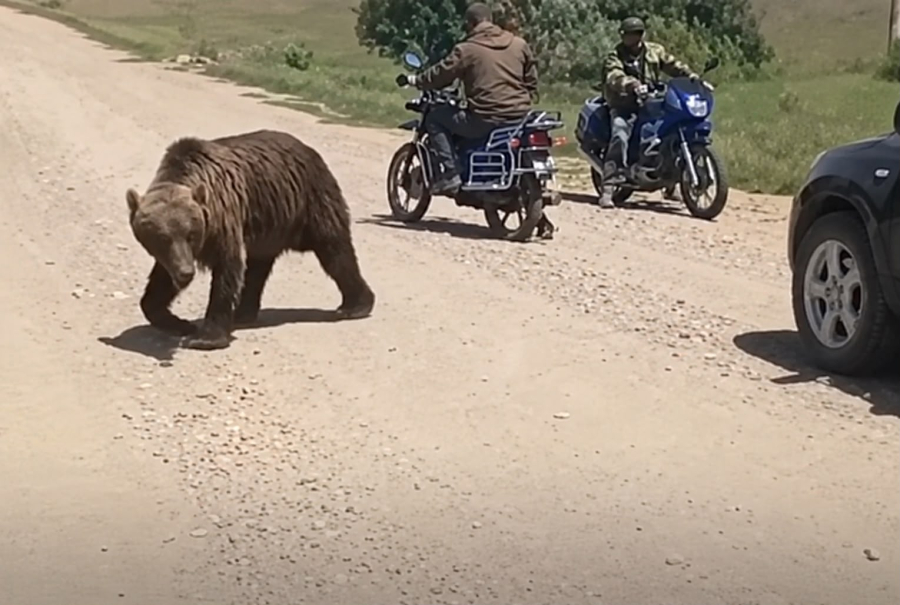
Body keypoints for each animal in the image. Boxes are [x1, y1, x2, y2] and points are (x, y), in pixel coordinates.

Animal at [125, 129, 376, 350]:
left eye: (191, 233)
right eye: (162, 238)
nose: (186, 273)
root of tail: (308, 149)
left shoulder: (223, 220)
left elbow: (227, 269)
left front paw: (206, 338)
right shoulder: (177, 252)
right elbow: (161, 280)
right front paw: (179, 323)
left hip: (309, 201)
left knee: (335, 251)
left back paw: (355, 306)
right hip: (268, 228)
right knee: (258, 269)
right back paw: (243, 313)